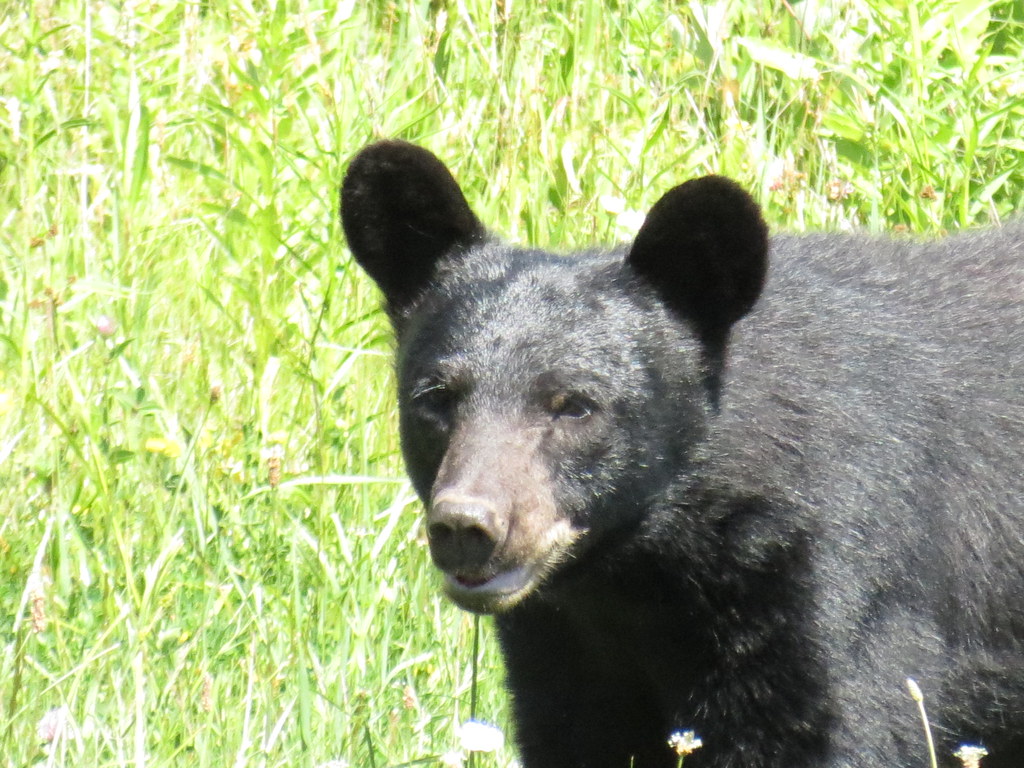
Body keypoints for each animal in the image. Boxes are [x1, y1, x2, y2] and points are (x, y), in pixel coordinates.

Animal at [339, 139, 1024, 768]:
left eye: (575, 405)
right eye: (436, 398)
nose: (468, 526)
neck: (641, 579)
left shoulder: (843, 599)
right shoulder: (567, 653)